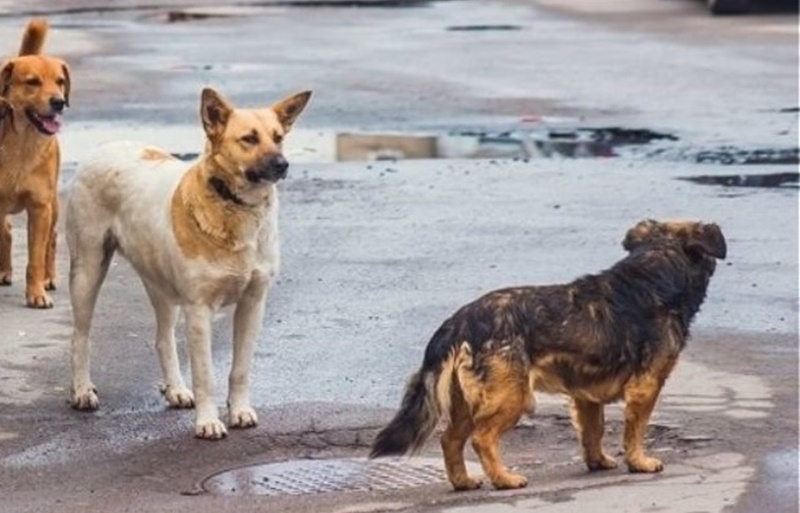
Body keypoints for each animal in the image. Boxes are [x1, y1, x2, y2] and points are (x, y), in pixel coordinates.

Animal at [67, 86, 310, 438]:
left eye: (278, 137)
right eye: (249, 139)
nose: (283, 164)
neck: (234, 207)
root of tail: (105, 146)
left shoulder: (253, 304)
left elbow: (240, 369)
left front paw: (239, 411)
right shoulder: (199, 310)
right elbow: (205, 374)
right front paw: (208, 422)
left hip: (160, 285)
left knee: (162, 339)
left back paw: (176, 389)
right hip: (88, 270)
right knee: (80, 336)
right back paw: (82, 390)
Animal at [372, 218, 728, 490]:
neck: (655, 270)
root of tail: (459, 321)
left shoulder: (586, 396)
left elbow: (593, 431)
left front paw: (597, 462)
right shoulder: (646, 386)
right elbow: (635, 430)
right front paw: (639, 461)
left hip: (465, 401)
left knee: (450, 440)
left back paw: (463, 481)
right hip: (511, 397)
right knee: (482, 438)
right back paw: (504, 479)